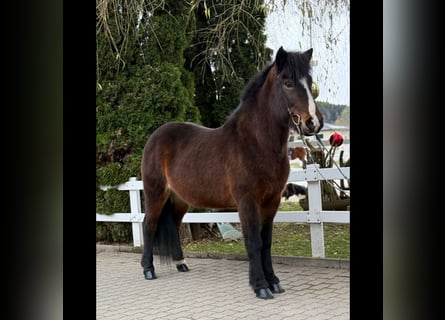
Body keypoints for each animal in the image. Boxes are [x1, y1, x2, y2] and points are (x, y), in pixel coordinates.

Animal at [140, 46, 322, 298]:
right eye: (288, 83)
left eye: (309, 82)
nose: (313, 123)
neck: (254, 143)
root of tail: (155, 137)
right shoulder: (247, 202)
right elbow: (253, 242)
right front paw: (261, 286)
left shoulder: (271, 201)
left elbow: (266, 243)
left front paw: (274, 282)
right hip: (155, 193)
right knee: (149, 224)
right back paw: (148, 270)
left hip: (179, 199)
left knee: (174, 225)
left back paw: (181, 264)